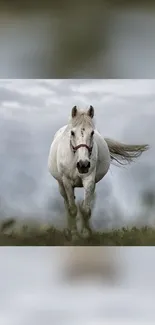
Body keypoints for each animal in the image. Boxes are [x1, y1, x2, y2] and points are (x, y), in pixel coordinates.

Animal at [47, 106, 149, 240]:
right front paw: (74, 235)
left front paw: (86, 233)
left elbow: (85, 209)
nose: (83, 164)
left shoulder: (89, 180)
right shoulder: (67, 182)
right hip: (61, 184)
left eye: (92, 133)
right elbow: (72, 209)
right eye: (72, 133)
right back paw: (69, 230)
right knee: (67, 204)